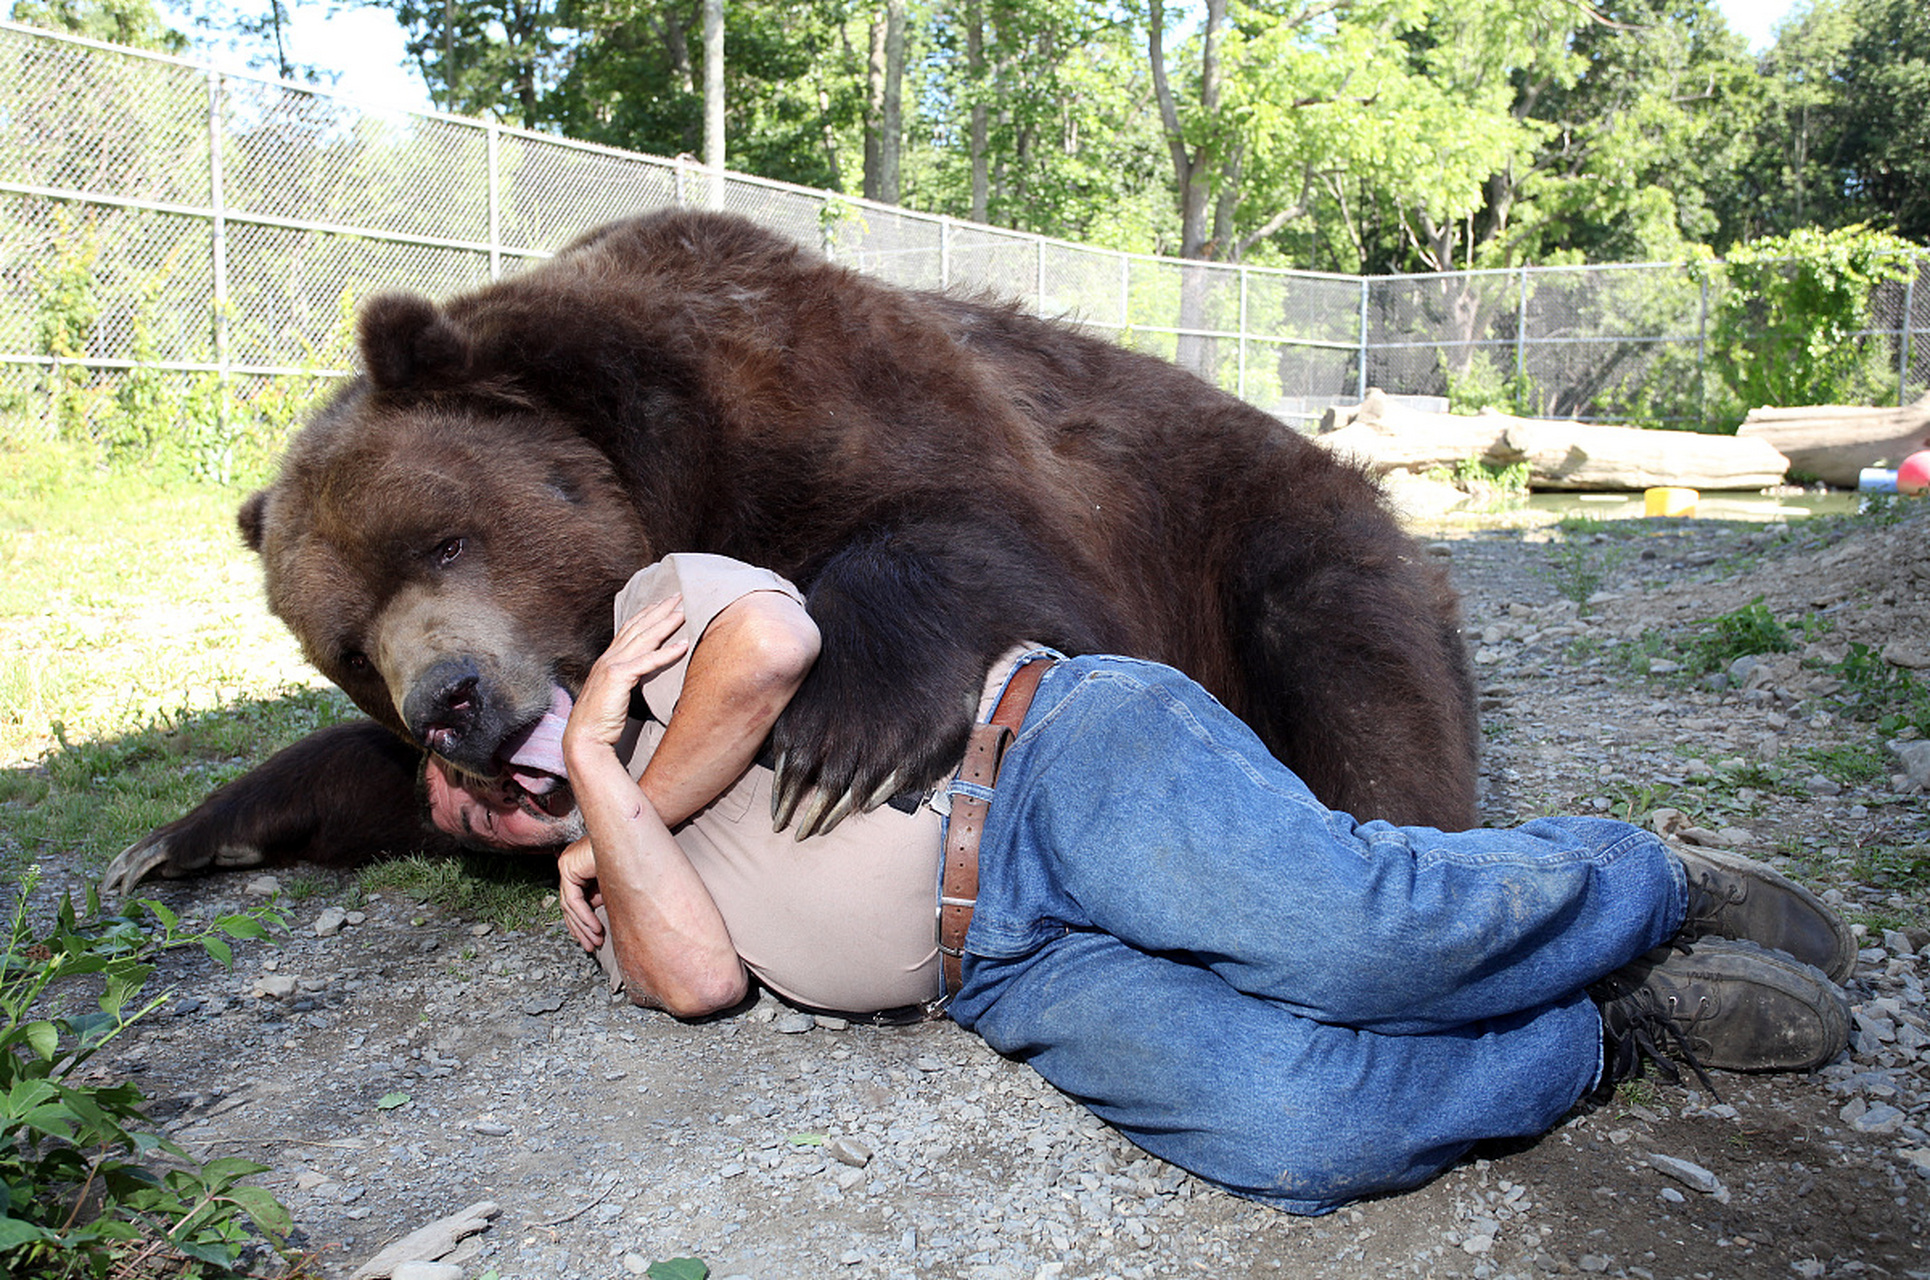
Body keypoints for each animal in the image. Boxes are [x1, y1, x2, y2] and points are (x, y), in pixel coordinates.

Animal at [109, 207, 1474, 891]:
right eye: (344, 643)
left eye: (444, 536)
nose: (450, 702)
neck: (660, 474)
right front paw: (183, 833)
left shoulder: (835, 400)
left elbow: (977, 535)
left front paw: (834, 739)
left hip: (1263, 521)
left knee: (1359, 667)